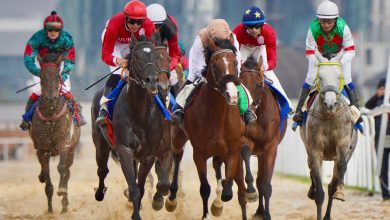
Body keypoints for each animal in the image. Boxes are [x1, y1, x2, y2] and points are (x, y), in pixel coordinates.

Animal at [29, 52, 81, 214]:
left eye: (57, 75)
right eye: (41, 76)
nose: (51, 98)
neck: (50, 118)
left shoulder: (64, 144)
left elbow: (62, 169)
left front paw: (62, 191)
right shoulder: (41, 149)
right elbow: (46, 176)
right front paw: (50, 210)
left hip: (72, 149)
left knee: (67, 171)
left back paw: (65, 205)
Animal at [91, 33, 172, 219]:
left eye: (156, 57)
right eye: (136, 57)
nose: (152, 81)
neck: (139, 113)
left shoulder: (149, 154)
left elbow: (141, 187)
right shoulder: (125, 150)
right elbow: (134, 188)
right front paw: (136, 213)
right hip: (101, 145)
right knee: (102, 170)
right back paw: (99, 193)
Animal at [166, 37, 248, 219]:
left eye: (234, 62)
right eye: (215, 65)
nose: (232, 95)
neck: (217, 116)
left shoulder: (232, 151)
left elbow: (227, 191)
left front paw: (218, 204)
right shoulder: (199, 153)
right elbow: (205, 188)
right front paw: (207, 213)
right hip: (177, 137)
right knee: (177, 157)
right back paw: (172, 198)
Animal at [233, 55, 288, 220]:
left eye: (258, 85)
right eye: (240, 84)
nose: (247, 112)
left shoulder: (270, 147)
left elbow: (265, 184)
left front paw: (267, 214)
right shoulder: (244, 141)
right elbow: (245, 151)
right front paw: (250, 190)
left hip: (262, 153)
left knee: (261, 180)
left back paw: (260, 211)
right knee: (242, 190)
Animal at [300, 49, 358, 220]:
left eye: (339, 76)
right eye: (320, 76)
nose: (331, 103)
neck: (330, 117)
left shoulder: (343, 146)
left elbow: (341, 168)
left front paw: (340, 192)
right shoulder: (315, 151)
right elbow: (319, 192)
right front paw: (315, 193)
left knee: (333, 183)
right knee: (312, 171)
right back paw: (312, 190)